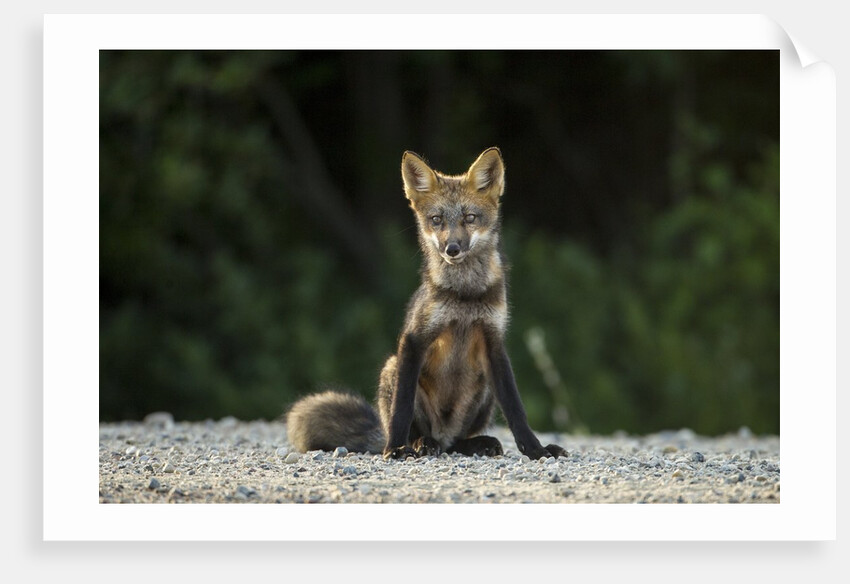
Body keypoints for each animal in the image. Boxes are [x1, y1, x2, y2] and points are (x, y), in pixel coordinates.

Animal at [286, 147, 566, 460]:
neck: (465, 296)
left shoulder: (494, 343)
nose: (452, 249)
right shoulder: (414, 339)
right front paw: (396, 448)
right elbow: (403, 407)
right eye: (436, 220)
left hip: (484, 387)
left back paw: (473, 444)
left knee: (454, 442)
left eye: (470, 217)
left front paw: (536, 449)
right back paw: (418, 444)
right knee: (420, 432)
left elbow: (516, 409)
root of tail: (443, 433)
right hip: (392, 367)